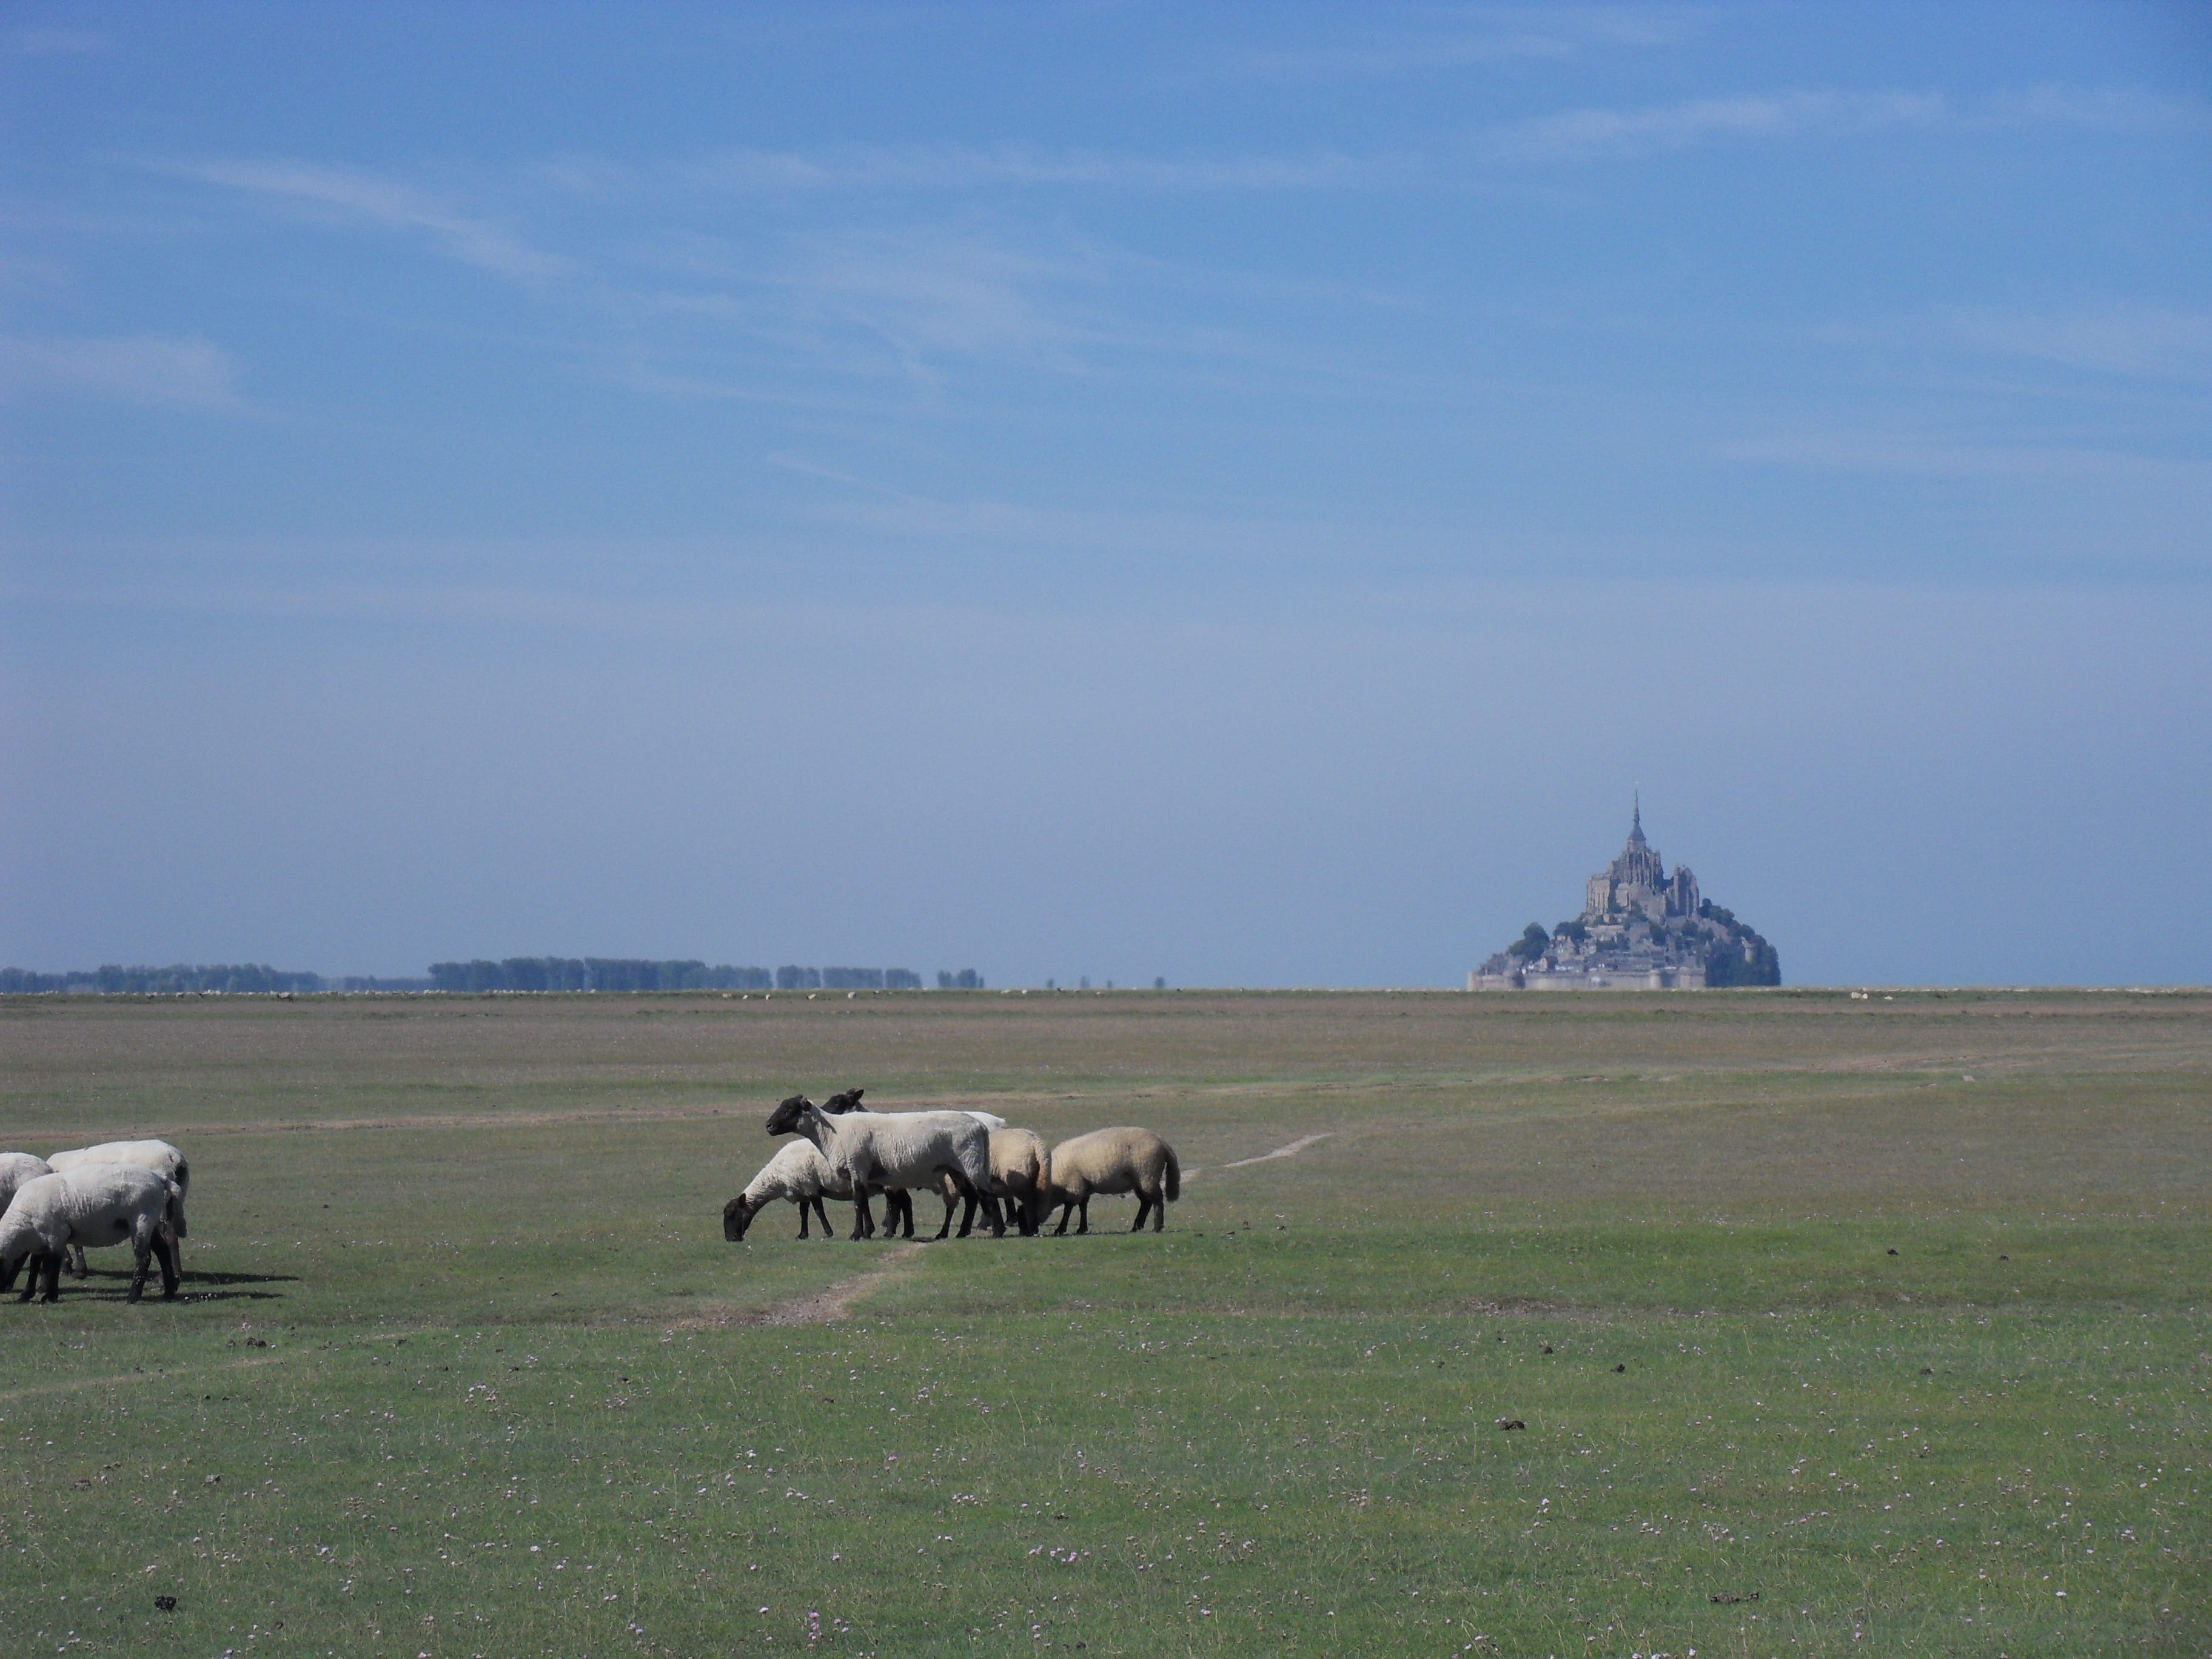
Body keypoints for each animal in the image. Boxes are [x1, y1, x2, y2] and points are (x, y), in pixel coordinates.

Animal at [0, 1167, 184, 1303]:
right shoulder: (40, 1241)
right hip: (150, 1221)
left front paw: (50, 1296)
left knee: (144, 1257)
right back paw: (169, 1291)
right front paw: (26, 1294)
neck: (24, 1222)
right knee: (163, 1251)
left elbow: (52, 1266)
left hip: (141, 1219)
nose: (3, 1290)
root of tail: (160, 1179)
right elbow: (35, 1266)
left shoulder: (56, 1235)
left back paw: (133, 1297)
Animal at [45, 1140, 189, 1277]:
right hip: (173, 1202)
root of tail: (174, 1157)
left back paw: (167, 1276)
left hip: (158, 1205)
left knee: (169, 1234)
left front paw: (75, 1269)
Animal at [723, 1140, 853, 1242]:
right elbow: (803, 1213)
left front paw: (828, 1233)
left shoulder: (810, 1187)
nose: (730, 1239)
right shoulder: (803, 1192)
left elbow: (819, 1211)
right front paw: (802, 1235)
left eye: (733, 1214)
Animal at [765, 1094, 1002, 1240]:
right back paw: (961, 1233)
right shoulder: (863, 1172)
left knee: (987, 1194)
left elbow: (858, 1201)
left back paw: (998, 1231)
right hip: (956, 1167)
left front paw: (856, 1235)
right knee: (971, 1196)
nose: (768, 1126)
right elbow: (864, 1202)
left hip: (970, 1161)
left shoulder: (857, 1164)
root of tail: (980, 1127)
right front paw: (866, 1233)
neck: (833, 1133)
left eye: (789, 1109)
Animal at [1042, 1127, 1181, 1234]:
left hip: (1147, 1174)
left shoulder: (1074, 1186)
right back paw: (1137, 1227)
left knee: (1157, 1200)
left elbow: (1069, 1208)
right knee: (1146, 1202)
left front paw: (1061, 1229)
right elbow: (1083, 1207)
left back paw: (1157, 1227)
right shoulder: (1083, 1186)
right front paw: (1082, 1228)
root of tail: (1163, 1143)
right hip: (1140, 1180)